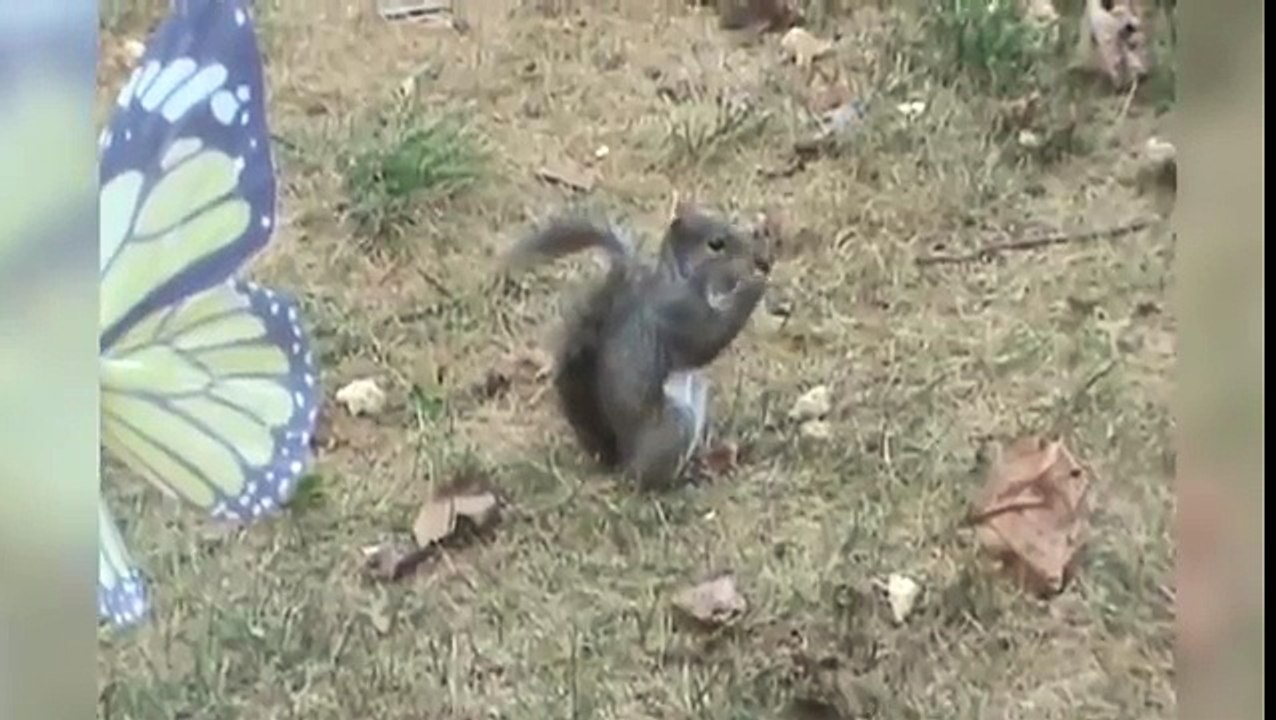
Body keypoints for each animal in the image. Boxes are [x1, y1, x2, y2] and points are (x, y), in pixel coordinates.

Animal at [502, 203, 771, 490]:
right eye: (716, 244)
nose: (759, 260)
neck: (682, 278)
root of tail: (623, 464)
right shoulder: (677, 313)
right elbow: (708, 338)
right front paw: (755, 285)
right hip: (675, 424)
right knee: (649, 479)